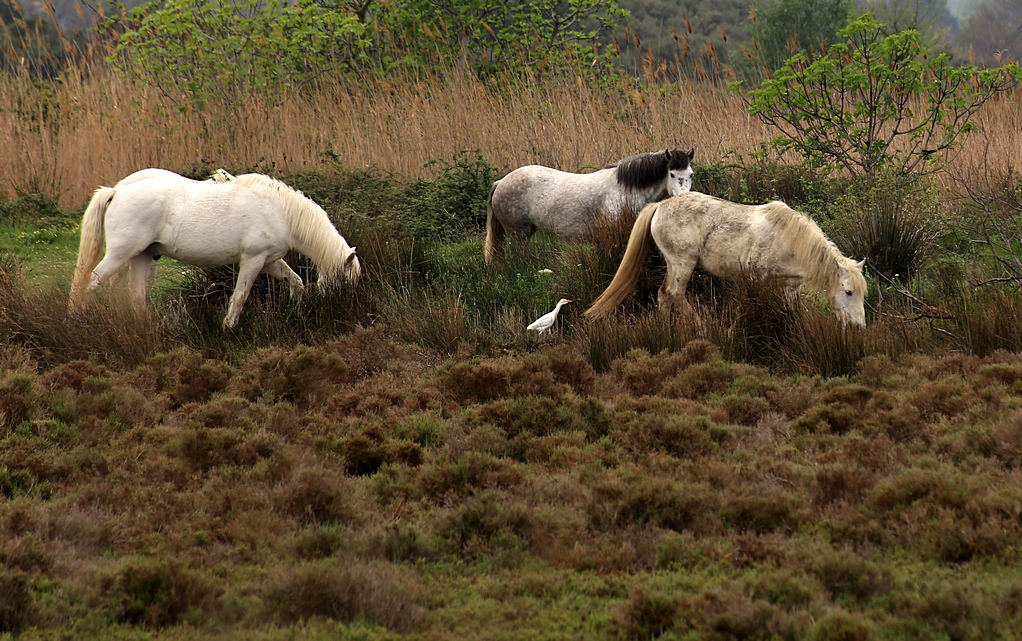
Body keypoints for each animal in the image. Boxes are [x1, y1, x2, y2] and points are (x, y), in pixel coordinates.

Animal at [70, 172, 357, 329]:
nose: (344, 307)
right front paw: (228, 327)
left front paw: (295, 312)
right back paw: (78, 319)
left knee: (136, 294)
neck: (280, 212)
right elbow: (240, 296)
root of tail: (117, 191)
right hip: (120, 255)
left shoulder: (269, 261)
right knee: (91, 283)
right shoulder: (253, 260)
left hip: (143, 256)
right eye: (345, 282)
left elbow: (296, 282)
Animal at [484, 148, 694, 263]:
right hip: (518, 234)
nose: (684, 199)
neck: (626, 190)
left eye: (690, 174)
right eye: (672, 174)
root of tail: (500, 183)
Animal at [588, 192, 866, 329]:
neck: (788, 240)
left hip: (673, 264)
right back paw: (700, 325)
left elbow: (792, 310)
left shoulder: (790, 286)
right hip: (683, 263)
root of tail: (660, 206)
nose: (858, 327)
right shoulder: (756, 279)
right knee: (675, 293)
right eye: (848, 292)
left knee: (664, 295)